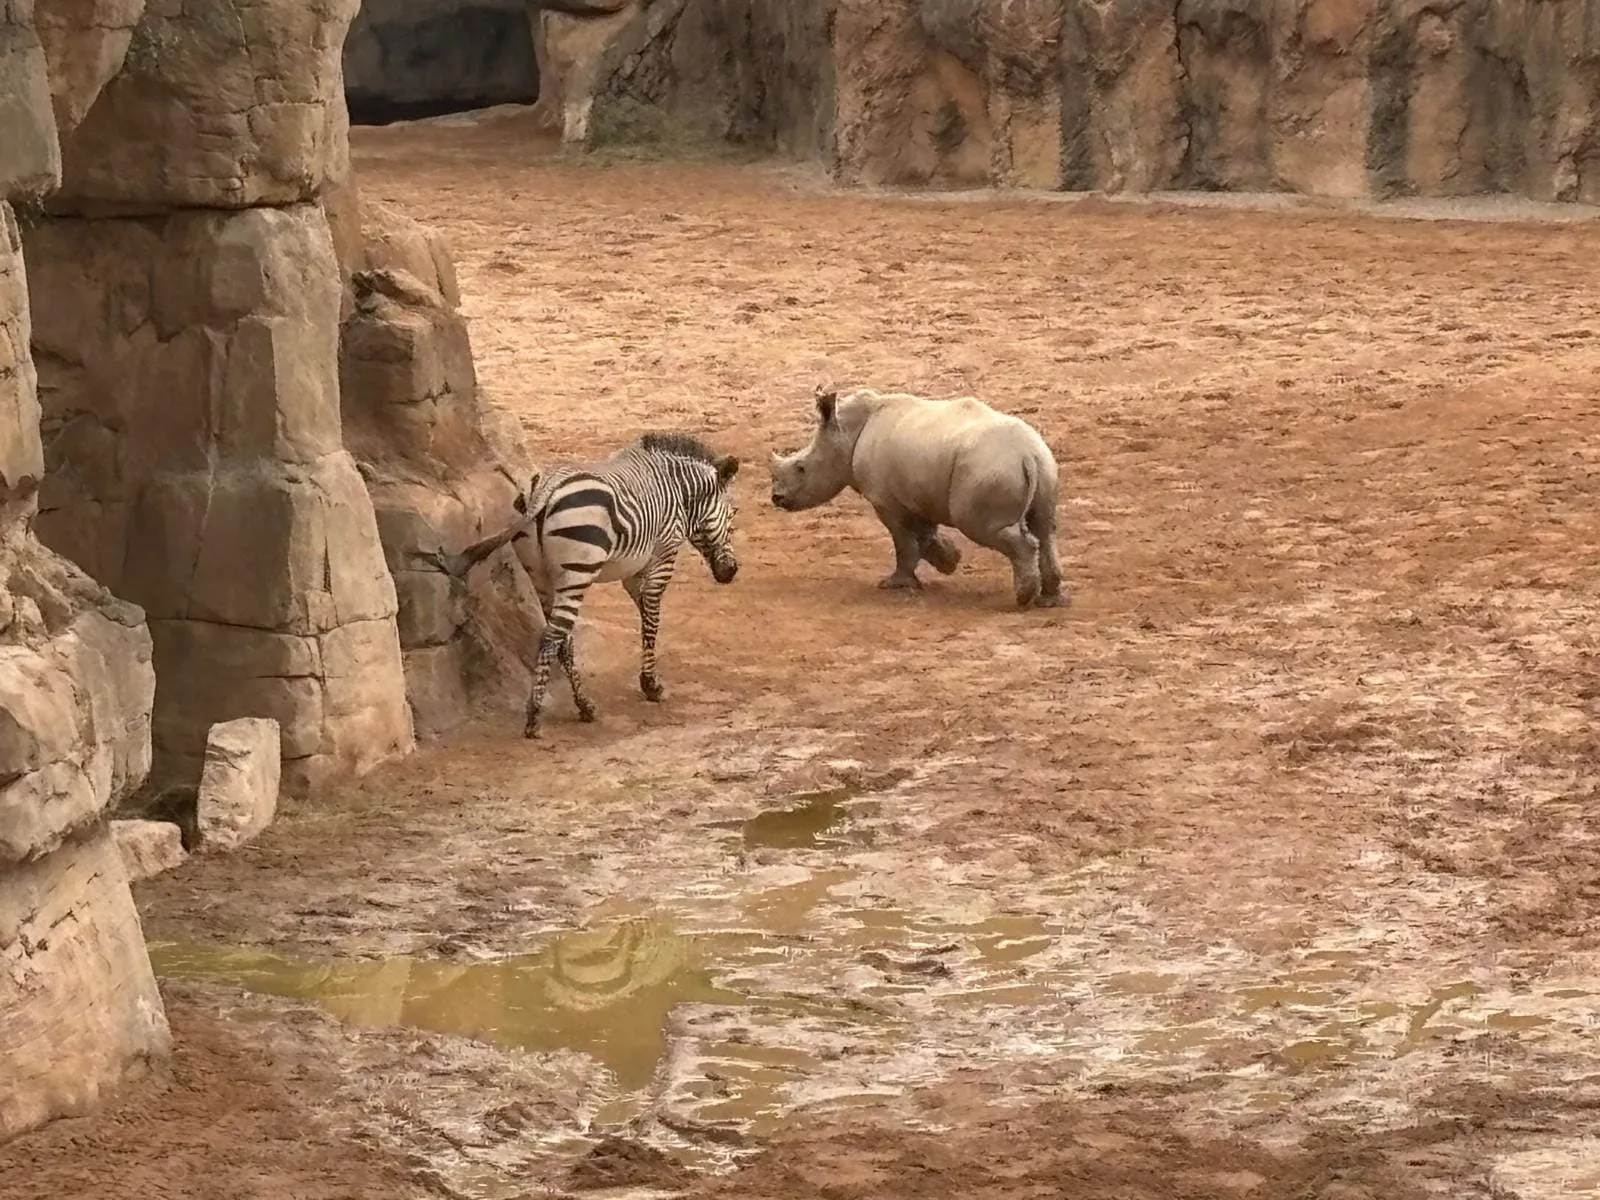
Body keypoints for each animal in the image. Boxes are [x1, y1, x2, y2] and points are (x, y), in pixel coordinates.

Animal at [416, 431, 741, 739]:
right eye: (733, 514)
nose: (731, 572)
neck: (676, 490)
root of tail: (546, 488)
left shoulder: (633, 573)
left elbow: (645, 618)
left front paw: (648, 680)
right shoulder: (664, 556)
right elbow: (652, 622)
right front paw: (651, 685)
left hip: (542, 576)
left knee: (563, 639)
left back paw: (584, 706)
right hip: (577, 574)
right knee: (552, 636)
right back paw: (534, 718)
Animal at [768, 386, 1065, 608]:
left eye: (801, 468)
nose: (776, 498)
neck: (846, 435)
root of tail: (1026, 455)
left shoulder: (886, 501)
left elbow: (904, 542)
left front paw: (896, 584)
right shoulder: (918, 492)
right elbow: (924, 535)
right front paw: (949, 560)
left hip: (987, 471)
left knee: (984, 527)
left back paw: (1023, 600)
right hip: (1042, 464)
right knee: (1045, 527)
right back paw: (1049, 600)